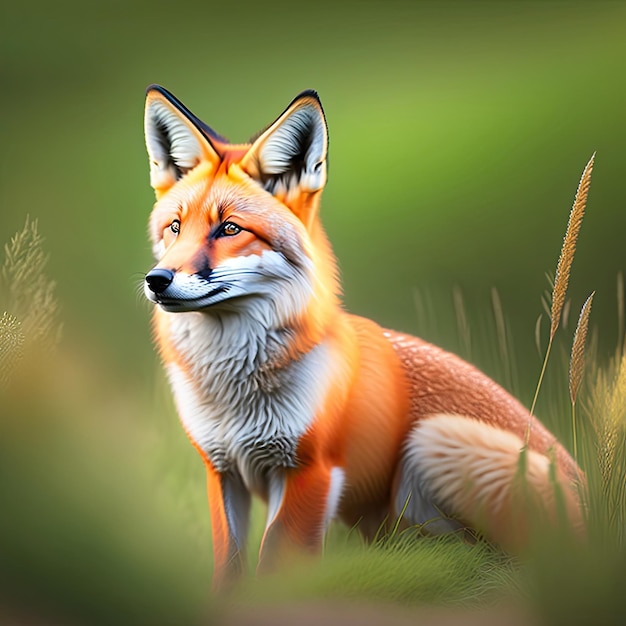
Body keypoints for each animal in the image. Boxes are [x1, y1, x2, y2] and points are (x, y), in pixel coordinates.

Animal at [141, 85, 580, 588]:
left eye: (229, 228)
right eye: (175, 228)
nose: (157, 279)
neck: (233, 393)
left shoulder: (310, 471)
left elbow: (277, 568)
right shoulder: (222, 471)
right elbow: (229, 570)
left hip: (434, 441)